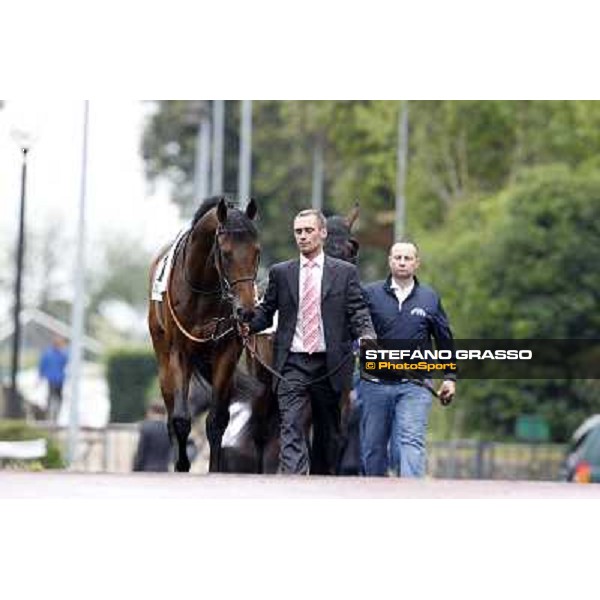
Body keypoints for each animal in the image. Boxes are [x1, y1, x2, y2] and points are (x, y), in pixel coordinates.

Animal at [149, 196, 258, 468]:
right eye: (226, 254)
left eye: (257, 251)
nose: (246, 311)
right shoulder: (179, 353)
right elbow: (180, 419)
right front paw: (181, 464)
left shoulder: (226, 352)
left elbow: (217, 420)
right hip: (163, 359)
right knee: (171, 416)